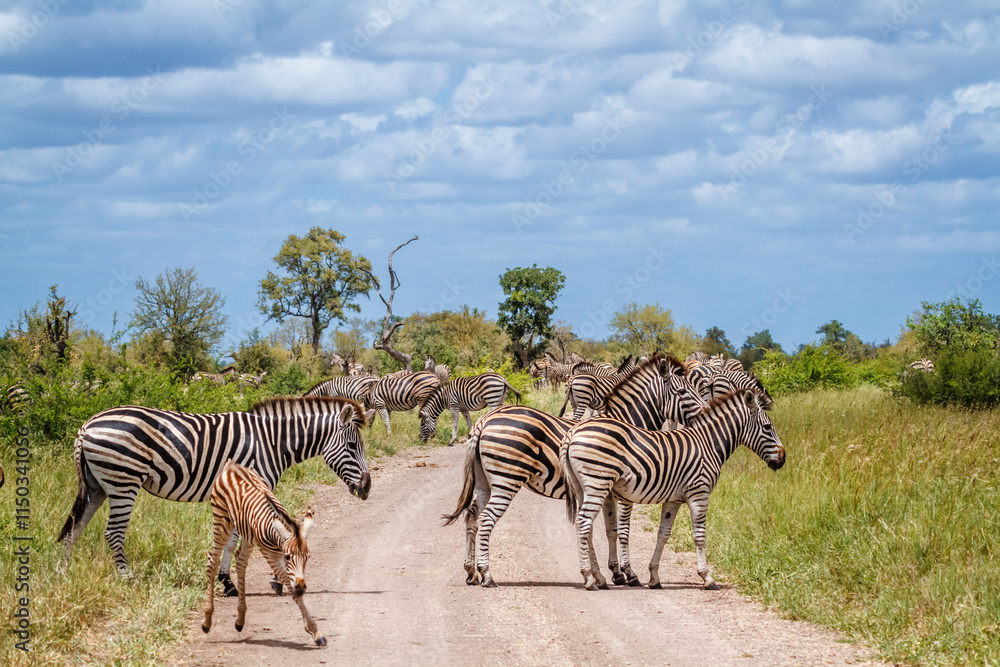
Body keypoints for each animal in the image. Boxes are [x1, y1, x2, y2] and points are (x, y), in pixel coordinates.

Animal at [58, 396, 374, 589]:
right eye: (351, 446)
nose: (367, 488)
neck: (272, 442)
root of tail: (87, 425)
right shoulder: (253, 488)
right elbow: (245, 537)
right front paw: (244, 580)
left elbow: (233, 540)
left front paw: (227, 580)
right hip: (123, 481)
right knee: (113, 533)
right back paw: (128, 578)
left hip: (97, 486)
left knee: (75, 527)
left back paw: (62, 573)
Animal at [202, 461, 326, 646]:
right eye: (287, 557)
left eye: (307, 558)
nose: (301, 587)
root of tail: (231, 465)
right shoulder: (271, 555)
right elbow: (291, 589)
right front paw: (315, 631)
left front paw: (315, 632)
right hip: (221, 520)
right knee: (213, 560)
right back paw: (207, 621)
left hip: (247, 534)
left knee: (240, 562)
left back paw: (240, 620)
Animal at [444, 354, 708, 588]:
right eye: (683, 392)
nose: (706, 412)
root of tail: (484, 421)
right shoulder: (626, 493)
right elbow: (623, 531)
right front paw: (629, 573)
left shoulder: (607, 492)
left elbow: (609, 530)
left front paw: (613, 573)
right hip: (506, 479)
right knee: (486, 518)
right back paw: (487, 574)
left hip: (484, 482)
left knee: (472, 516)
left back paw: (471, 572)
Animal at [561, 387, 785, 591]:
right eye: (767, 427)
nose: (782, 459)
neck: (708, 444)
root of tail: (573, 431)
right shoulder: (699, 493)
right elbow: (699, 536)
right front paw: (707, 577)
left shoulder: (673, 499)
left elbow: (663, 534)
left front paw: (654, 577)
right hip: (598, 482)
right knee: (584, 522)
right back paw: (588, 578)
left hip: (581, 487)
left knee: (586, 526)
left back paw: (598, 577)